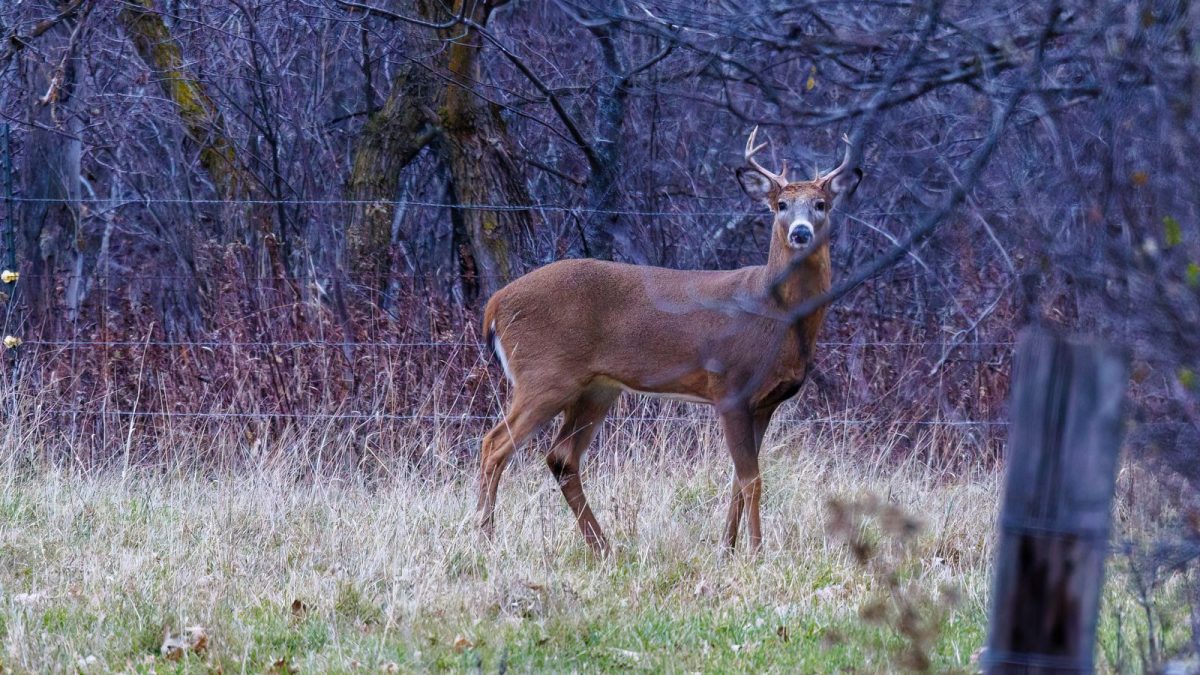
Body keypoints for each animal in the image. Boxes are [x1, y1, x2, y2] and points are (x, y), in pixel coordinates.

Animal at [476, 128, 862, 555]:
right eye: (781, 204)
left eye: (821, 204)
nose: (800, 232)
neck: (777, 313)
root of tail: (495, 304)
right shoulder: (729, 387)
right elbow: (752, 480)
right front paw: (756, 552)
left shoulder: (764, 403)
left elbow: (737, 481)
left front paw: (727, 549)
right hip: (544, 374)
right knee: (493, 445)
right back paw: (485, 538)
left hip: (596, 388)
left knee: (561, 457)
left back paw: (602, 547)